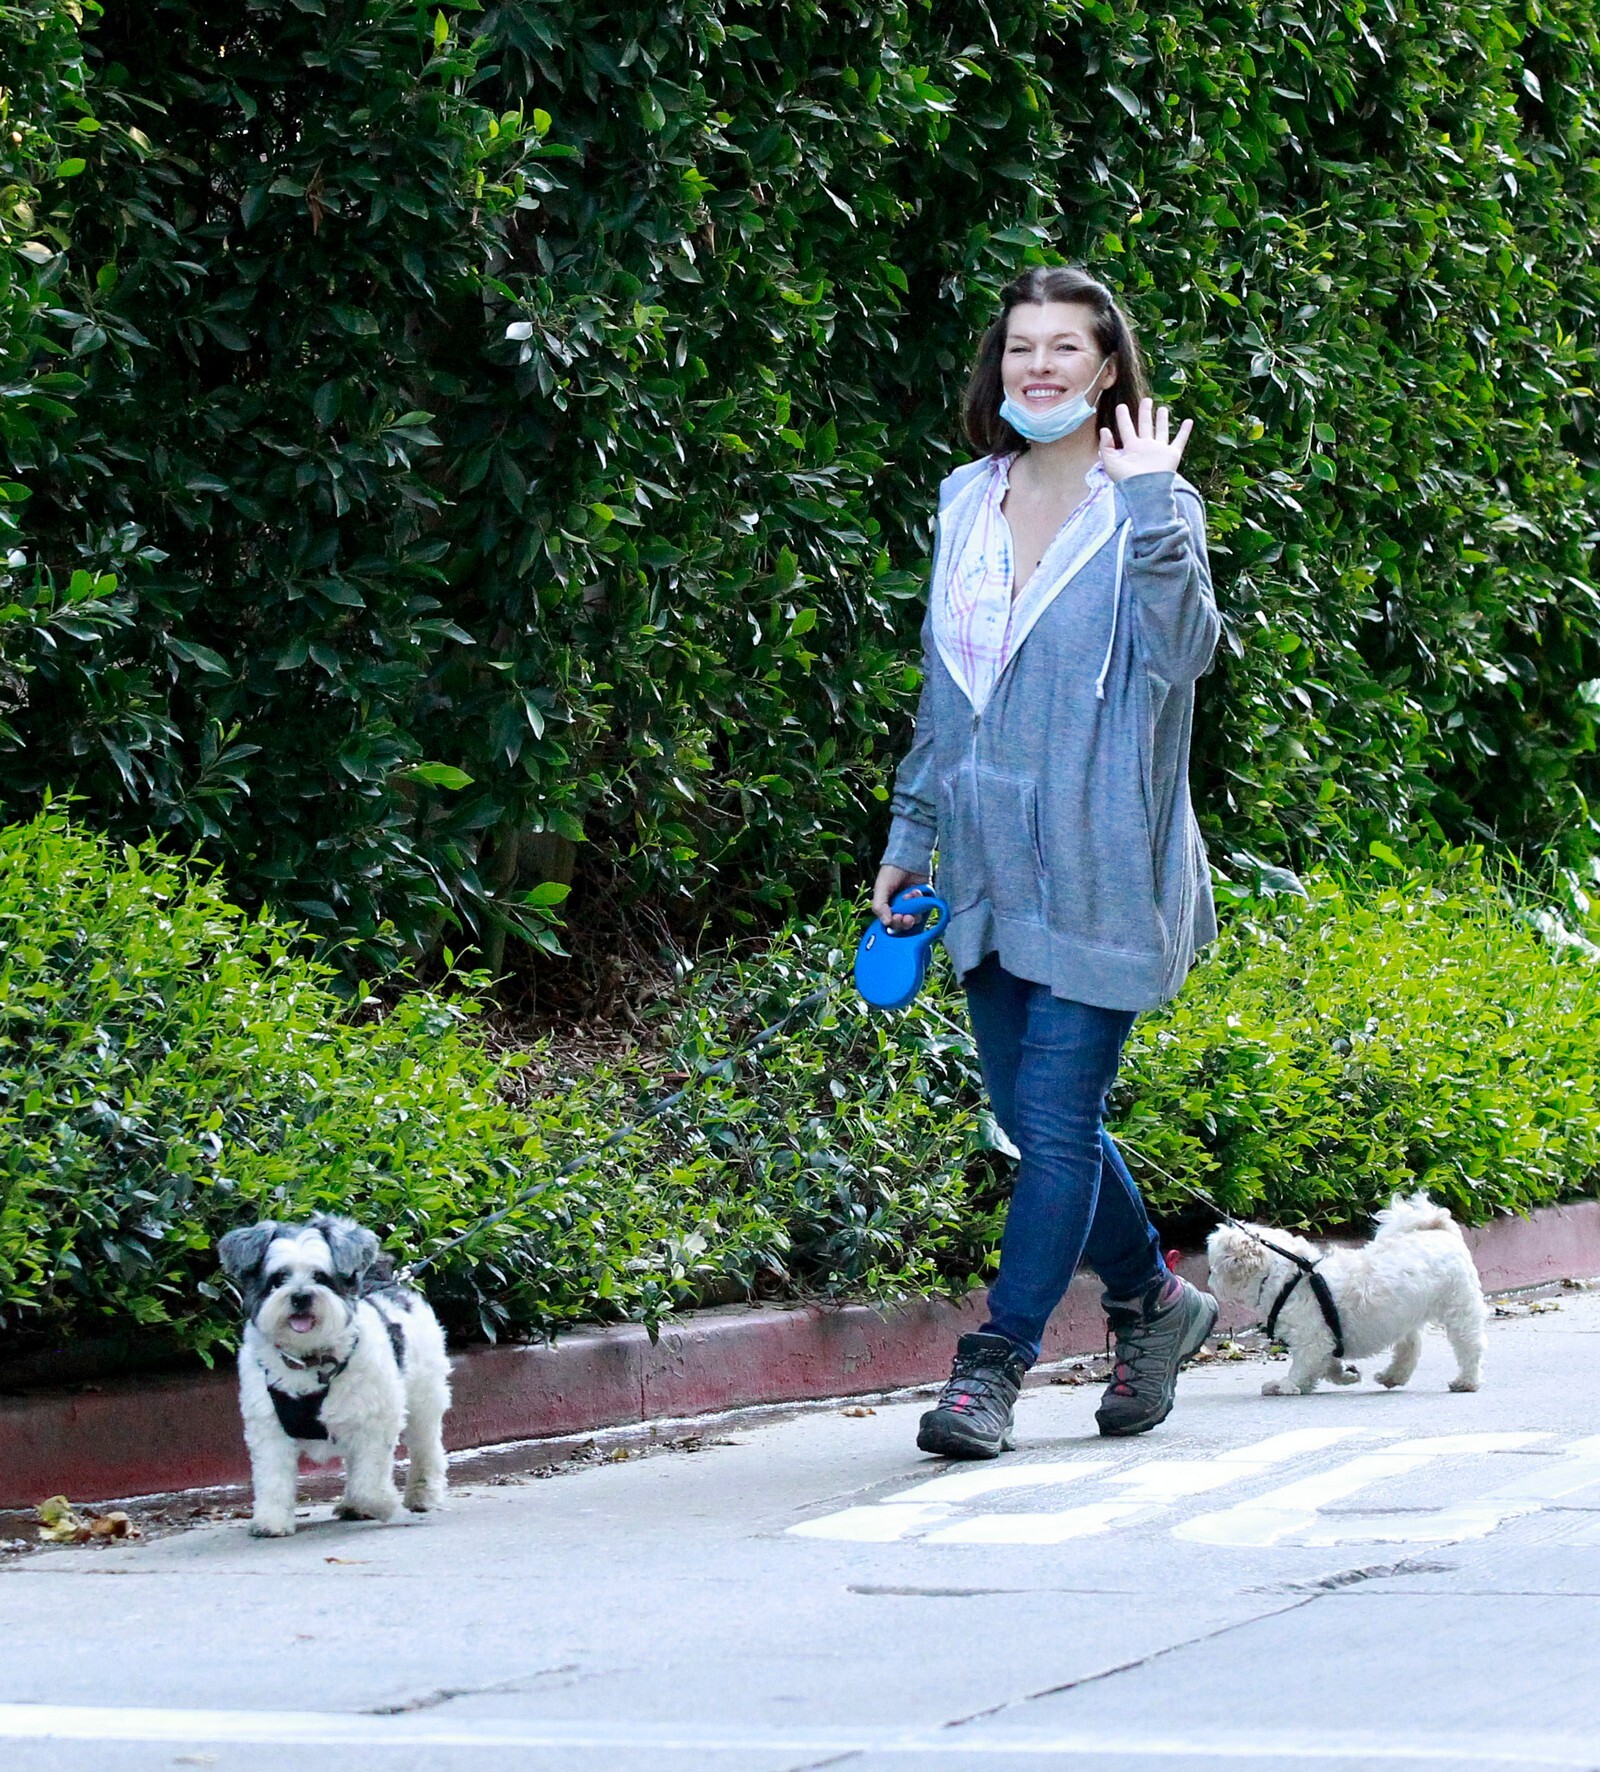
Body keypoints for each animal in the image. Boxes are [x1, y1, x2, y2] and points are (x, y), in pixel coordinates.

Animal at [217, 1214, 451, 1537]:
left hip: (423, 1397)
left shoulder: (375, 1420)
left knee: (426, 1445)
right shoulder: (269, 1428)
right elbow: (273, 1479)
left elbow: (370, 1480)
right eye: (278, 1279)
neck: (308, 1359)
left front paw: (383, 1503)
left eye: (321, 1276)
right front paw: (271, 1521)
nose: (300, 1296)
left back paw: (421, 1493)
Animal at [1205, 1192, 1487, 1397]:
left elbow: (1303, 1367)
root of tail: (1439, 1230)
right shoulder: (1326, 1339)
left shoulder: (1312, 1337)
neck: (1288, 1276)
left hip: (1459, 1307)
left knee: (1469, 1345)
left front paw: (1285, 1385)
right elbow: (1327, 1365)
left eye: (1213, 1267)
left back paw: (1466, 1381)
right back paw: (1392, 1376)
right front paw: (1346, 1376)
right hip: (1406, 1313)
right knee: (1411, 1346)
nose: (1208, 1280)